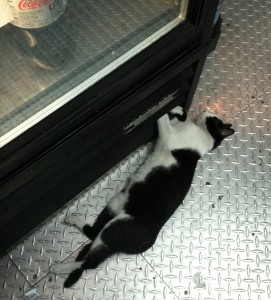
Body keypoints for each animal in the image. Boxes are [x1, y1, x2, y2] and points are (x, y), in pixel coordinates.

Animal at [50, 105, 236, 286]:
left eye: (214, 118)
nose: (206, 110)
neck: (206, 138)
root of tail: (145, 243)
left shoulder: (169, 135)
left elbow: (162, 119)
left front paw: (159, 107)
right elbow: (177, 117)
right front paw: (178, 109)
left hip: (113, 229)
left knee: (90, 260)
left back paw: (59, 266)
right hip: (114, 205)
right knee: (93, 233)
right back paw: (73, 224)